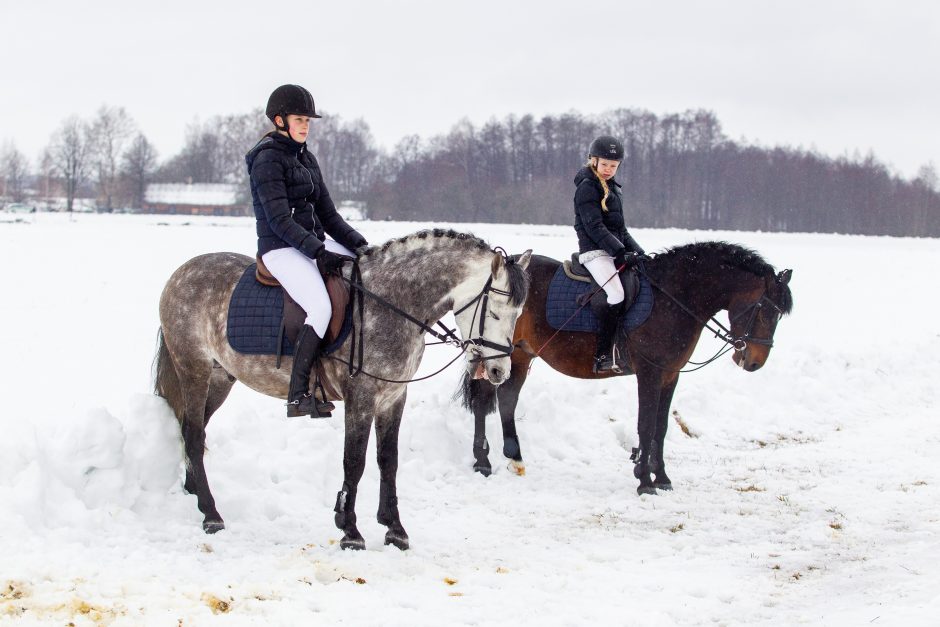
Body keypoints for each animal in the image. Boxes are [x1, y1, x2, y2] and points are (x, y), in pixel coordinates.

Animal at [158, 231, 532, 548]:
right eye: (495, 312)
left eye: (518, 315)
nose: (498, 372)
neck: (394, 302)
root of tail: (181, 272)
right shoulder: (361, 397)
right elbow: (354, 461)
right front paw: (350, 530)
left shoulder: (393, 397)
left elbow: (388, 460)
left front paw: (394, 529)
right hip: (194, 369)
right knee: (193, 434)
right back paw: (211, 514)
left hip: (220, 377)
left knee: (194, 430)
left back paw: (195, 493)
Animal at [462, 240, 792, 496]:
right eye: (763, 310)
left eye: (778, 315)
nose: (753, 362)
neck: (673, 297)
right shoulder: (649, 372)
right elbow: (645, 425)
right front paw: (644, 481)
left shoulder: (669, 375)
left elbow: (661, 426)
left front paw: (662, 478)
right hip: (496, 352)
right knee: (483, 401)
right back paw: (482, 462)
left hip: (519, 355)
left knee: (507, 400)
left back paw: (514, 457)